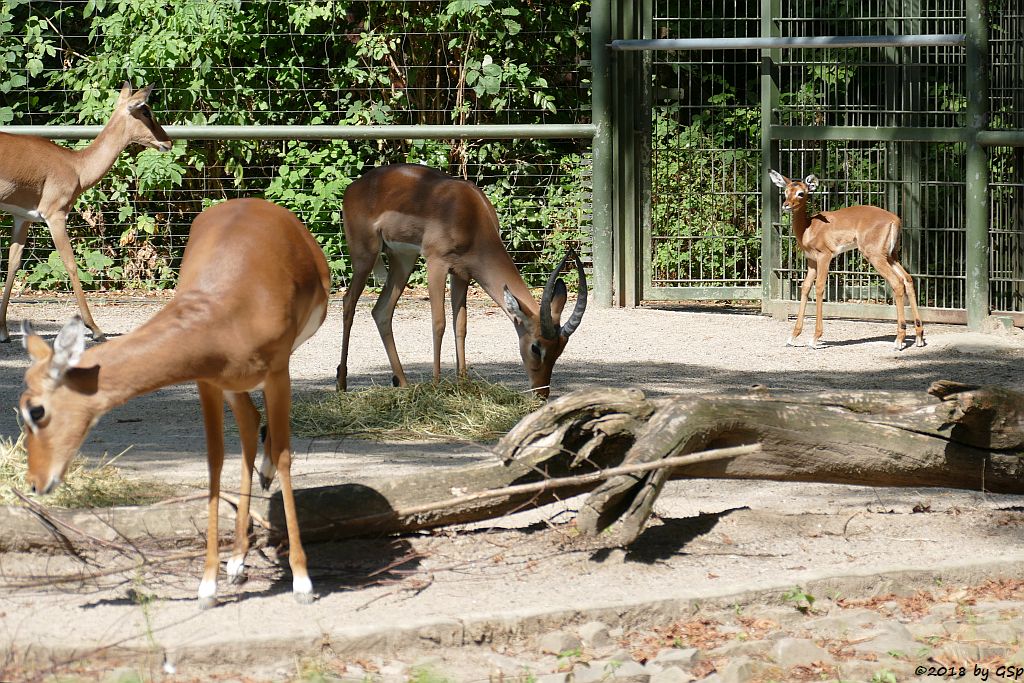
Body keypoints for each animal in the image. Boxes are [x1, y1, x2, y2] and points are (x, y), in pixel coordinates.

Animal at [0, 81, 169, 342]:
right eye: (146, 110)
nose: (168, 142)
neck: (77, 166)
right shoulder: (56, 216)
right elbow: (71, 264)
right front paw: (96, 329)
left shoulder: (22, 217)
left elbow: (13, 263)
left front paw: (4, 331)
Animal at [19, 197, 329, 610]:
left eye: (36, 410)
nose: (36, 482)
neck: (225, 313)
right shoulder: (206, 381)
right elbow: (215, 463)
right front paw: (208, 586)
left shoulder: (279, 371)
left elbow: (283, 455)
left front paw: (302, 582)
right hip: (232, 383)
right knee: (250, 423)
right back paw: (237, 562)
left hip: (276, 370)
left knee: (272, 438)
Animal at [339, 164, 589, 397]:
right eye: (536, 347)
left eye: (560, 349)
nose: (541, 392)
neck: (470, 215)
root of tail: (353, 187)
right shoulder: (436, 264)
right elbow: (439, 323)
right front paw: (436, 385)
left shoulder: (462, 273)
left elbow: (460, 325)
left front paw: (463, 384)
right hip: (365, 256)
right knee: (348, 302)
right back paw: (341, 383)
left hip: (403, 260)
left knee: (381, 311)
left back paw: (403, 383)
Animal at [770, 171, 925, 352]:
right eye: (786, 191)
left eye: (801, 193)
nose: (786, 205)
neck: (809, 228)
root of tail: (895, 220)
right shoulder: (812, 261)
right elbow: (806, 288)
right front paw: (793, 337)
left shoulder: (825, 256)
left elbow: (820, 288)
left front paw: (815, 338)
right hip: (891, 256)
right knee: (907, 279)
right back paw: (919, 337)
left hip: (875, 256)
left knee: (897, 282)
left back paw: (899, 340)